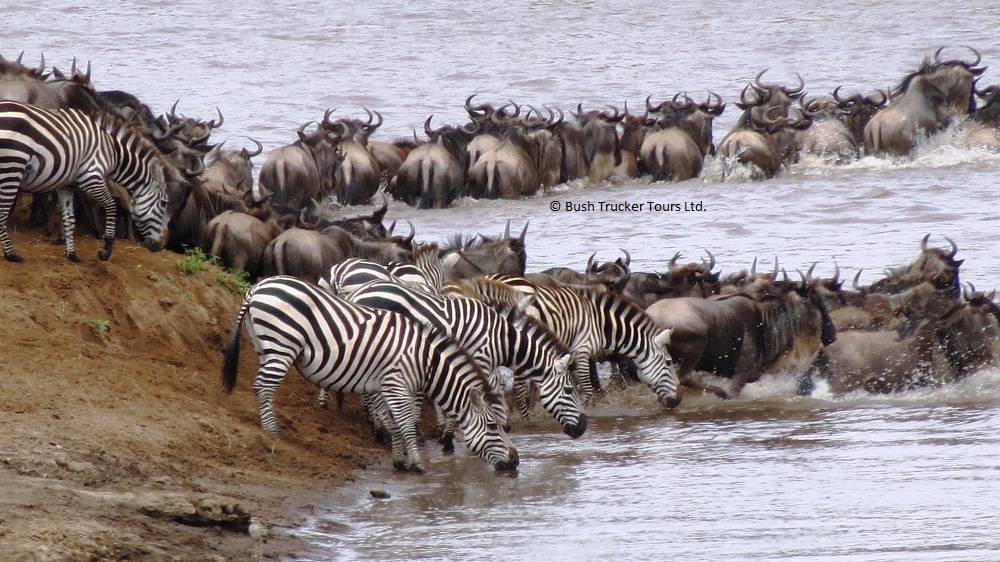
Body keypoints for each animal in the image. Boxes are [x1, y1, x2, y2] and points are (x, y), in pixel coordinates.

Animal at [0, 99, 168, 262]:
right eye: (164, 203)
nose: (160, 246)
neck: (112, 153)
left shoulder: (66, 186)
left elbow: (69, 218)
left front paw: (71, 254)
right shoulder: (92, 178)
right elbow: (111, 206)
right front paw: (106, 250)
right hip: (12, 166)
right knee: (2, 212)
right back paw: (11, 255)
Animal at [219, 274, 516, 470]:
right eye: (493, 426)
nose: (516, 461)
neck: (424, 359)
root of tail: (256, 288)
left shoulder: (384, 386)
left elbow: (394, 423)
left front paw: (399, 461)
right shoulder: (397, 385)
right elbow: (406, 425)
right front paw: (417, 464)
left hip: (265, 346)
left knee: (261, 386)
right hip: (282, 344)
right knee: (263, 387)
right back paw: (273, 432)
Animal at [350, 278, 588, 440]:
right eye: (569, 390)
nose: (584, 428)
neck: (501, 338)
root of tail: (359, 292)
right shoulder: (480, 359)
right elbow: (480, 393)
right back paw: (381, 431)